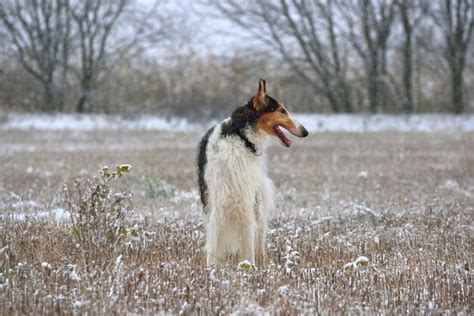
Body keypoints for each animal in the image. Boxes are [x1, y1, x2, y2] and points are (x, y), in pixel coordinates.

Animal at [196, 79, 308, 266]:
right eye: (281, 110)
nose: (305, 131)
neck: (242, 138)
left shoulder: (246, 201)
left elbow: (249, 242)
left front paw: (249, 265)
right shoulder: (218, 202)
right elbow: (214, 243)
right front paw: (211, 267)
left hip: (257, 201)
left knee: (259, 236)